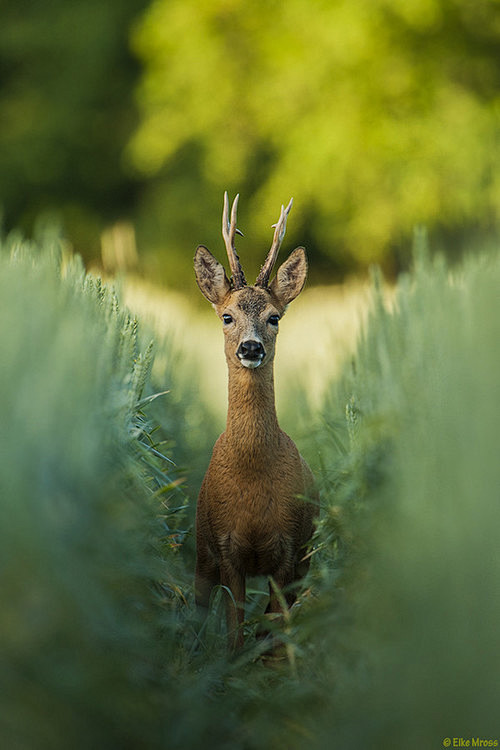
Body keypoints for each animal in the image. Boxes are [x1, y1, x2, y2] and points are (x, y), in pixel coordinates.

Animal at [193, 191, 318, 648]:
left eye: (274, 317)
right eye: (227, 316)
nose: (250, 348)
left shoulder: (289, 552)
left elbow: (275, 628)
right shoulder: (226, 549)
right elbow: (234, 631)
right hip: (200, 549)